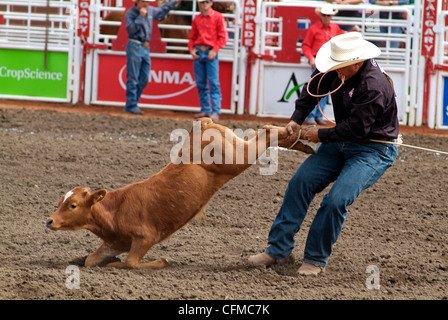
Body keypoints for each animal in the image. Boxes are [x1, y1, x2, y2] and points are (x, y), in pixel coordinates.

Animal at [46, 119, 312, 268]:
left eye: (72, 205)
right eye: (60, 201)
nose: (49, 221)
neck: (115, 210)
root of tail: (202, 126)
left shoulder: (145, 238)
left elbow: (131, 264)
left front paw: (160, 262)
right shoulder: (115, 242)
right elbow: (91, 260)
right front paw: (107, 261)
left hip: (237, 157)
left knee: (266, 135)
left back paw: (297, 135)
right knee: (264, 136)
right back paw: (301, 142)